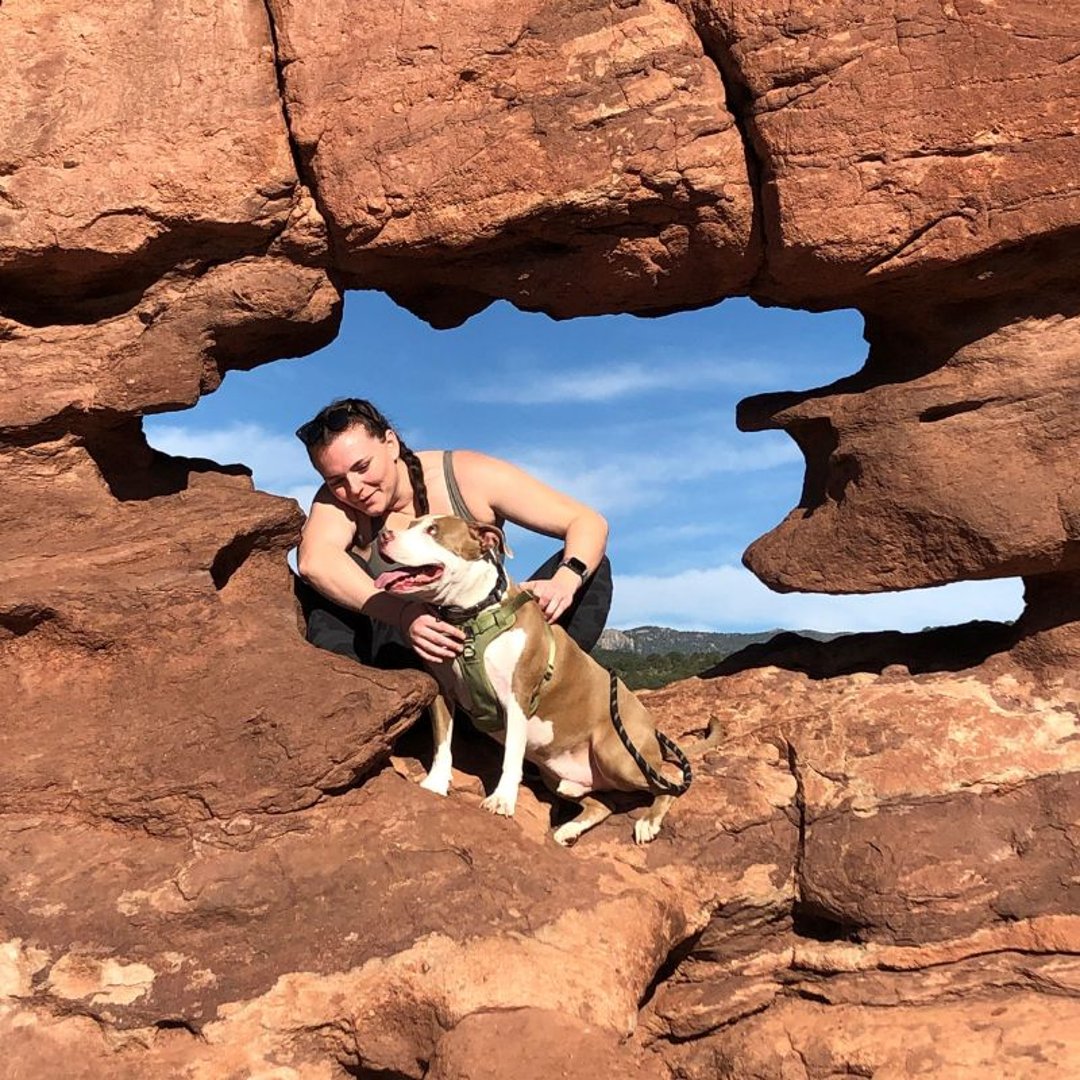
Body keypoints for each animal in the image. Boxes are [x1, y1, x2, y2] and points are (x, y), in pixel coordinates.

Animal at [373, 514, 691, 842]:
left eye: (433, 531)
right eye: (412, 524)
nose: (383, 535)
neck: (472, 617)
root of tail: (647, 721)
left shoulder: (517, 699)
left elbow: (511, 756)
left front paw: (501, 800)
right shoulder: (442, 691)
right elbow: (441, 744)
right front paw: (435, 784)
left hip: (617, 756)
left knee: (670, 781)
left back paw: (648, 822)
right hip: (560, 778)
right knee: (604, 804)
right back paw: (568, 830)